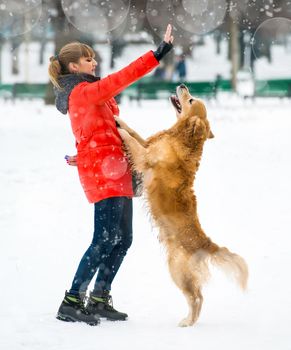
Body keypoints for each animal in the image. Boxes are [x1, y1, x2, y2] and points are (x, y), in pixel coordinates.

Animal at [116, 85, 249, 328]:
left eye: (191, 99)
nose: (183, 85)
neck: (181, 137)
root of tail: (206, 244)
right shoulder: (148, 144)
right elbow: (135, 133)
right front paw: (119, 120)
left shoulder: (145, 156)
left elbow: (131, 140)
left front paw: (118, 127)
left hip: (177, 271)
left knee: (197, 297)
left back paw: (187, 322)